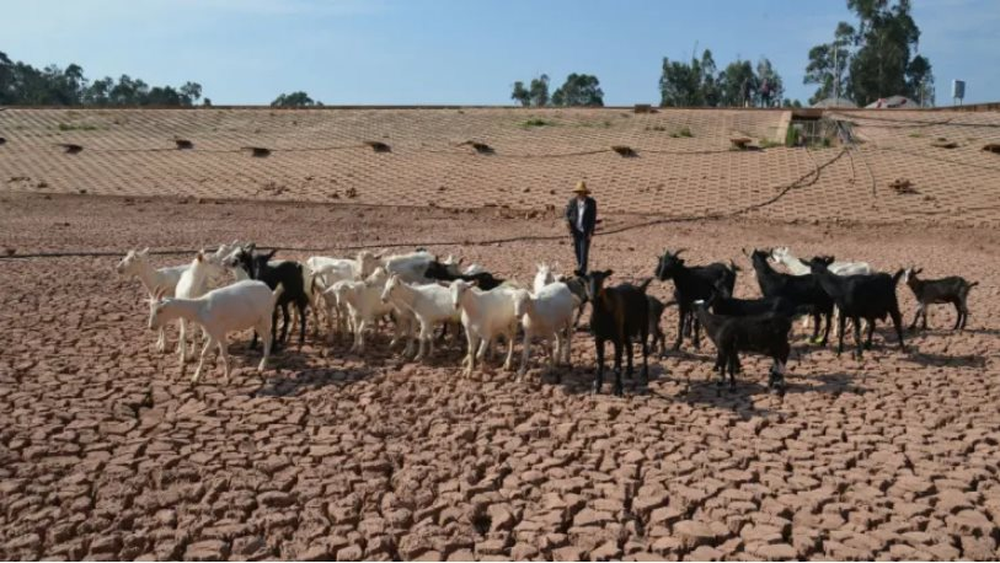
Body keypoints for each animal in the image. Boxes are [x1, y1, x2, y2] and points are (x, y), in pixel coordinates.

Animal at [145, 280, 280, 384]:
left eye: (160, 310)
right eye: (151, 308)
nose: (151, 326)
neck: (201, 307)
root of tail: (270, 292)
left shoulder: (214, 334)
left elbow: (204, 353)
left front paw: (195, 378)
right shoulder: (220, 333)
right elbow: (224, 353)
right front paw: (227, 375)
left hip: (265, 319)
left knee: (268, 338)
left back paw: (262, 366)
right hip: (256, 322)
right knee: (266, 338)